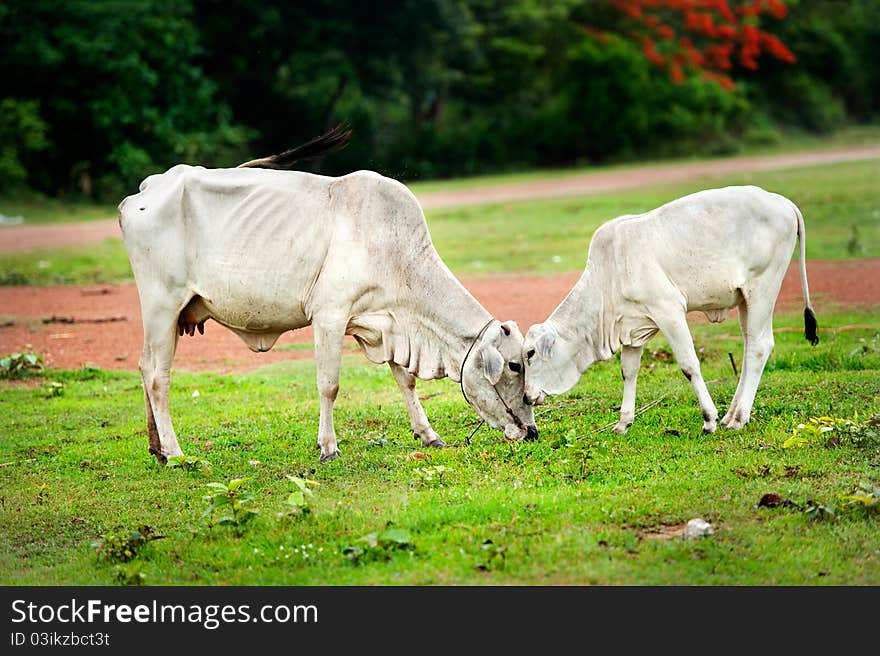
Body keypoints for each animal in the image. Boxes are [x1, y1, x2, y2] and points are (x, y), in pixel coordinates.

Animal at [524, 184, 820, 434]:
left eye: (530, 354)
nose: (526, 397)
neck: (607, 279)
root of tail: (781, 201)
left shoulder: (669, 310)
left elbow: (689, 365)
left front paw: (709, 419)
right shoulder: (632, 328)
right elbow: (628, 372)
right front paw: (623, 423)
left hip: (762, 288)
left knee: (759, 346)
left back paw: (737, 418)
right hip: (745, 300)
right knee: (749, 347)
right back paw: (732, 414)